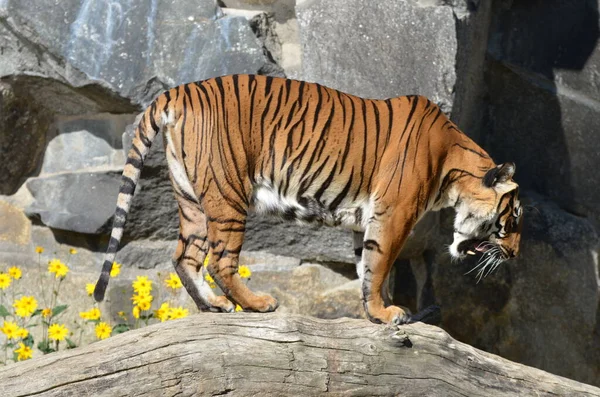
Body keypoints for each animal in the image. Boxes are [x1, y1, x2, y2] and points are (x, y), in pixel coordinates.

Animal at [92, 74, 520, 324]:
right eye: (512, 220)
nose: (514, 254)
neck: (453, 166)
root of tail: (179, 90)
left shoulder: (368, 220)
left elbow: (368, 267)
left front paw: (373, 311)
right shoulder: (394, 215)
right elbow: (381, 265)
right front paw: (386, 313)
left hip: (191, 198)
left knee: (184, 256)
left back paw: (213, 306)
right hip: (228, 195)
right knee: (220, 260)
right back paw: (257, 304)